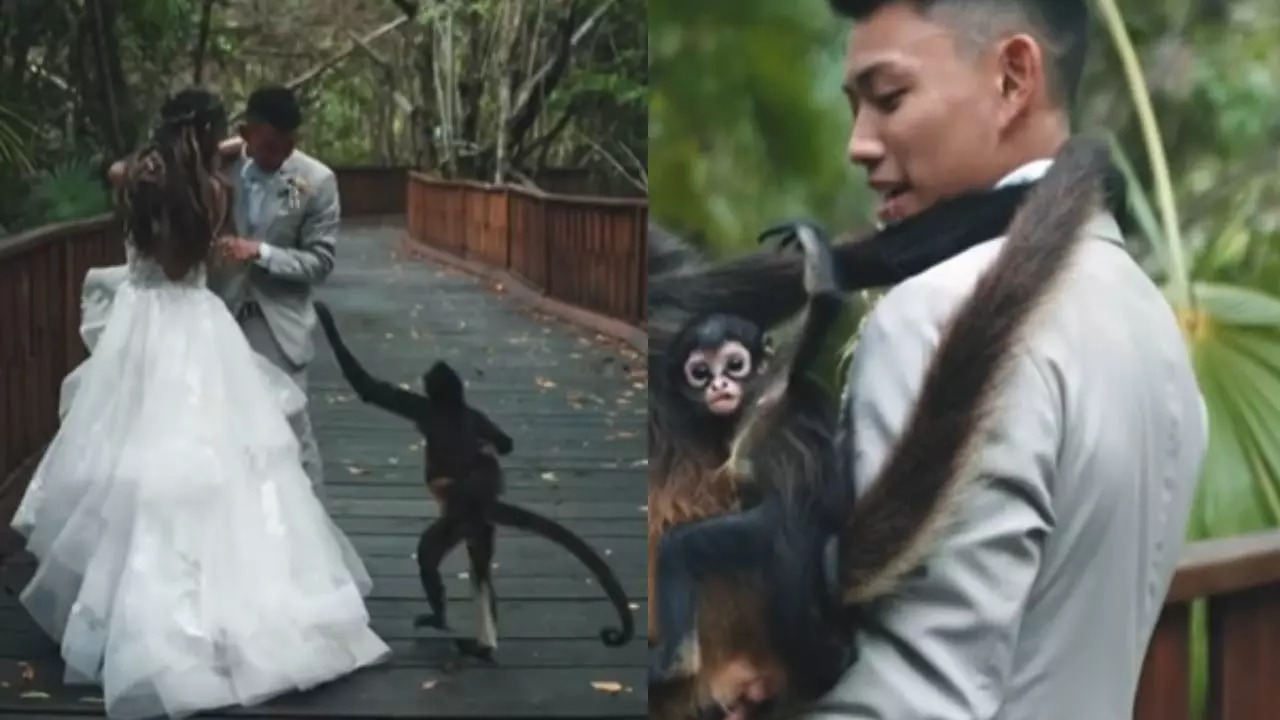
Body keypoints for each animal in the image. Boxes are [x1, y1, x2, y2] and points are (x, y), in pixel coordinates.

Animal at [314, 299, 634, 661]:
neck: (453, 407)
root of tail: (482, 503)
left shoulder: (425, 408)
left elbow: (367, 388)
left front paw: (323, 314)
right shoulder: (476, 415)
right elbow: (506, 444)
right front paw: (490, 450)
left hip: (457, 518)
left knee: (429, 553)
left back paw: (440, 618)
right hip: (478, 526)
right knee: (481, 570)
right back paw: (482, 644)